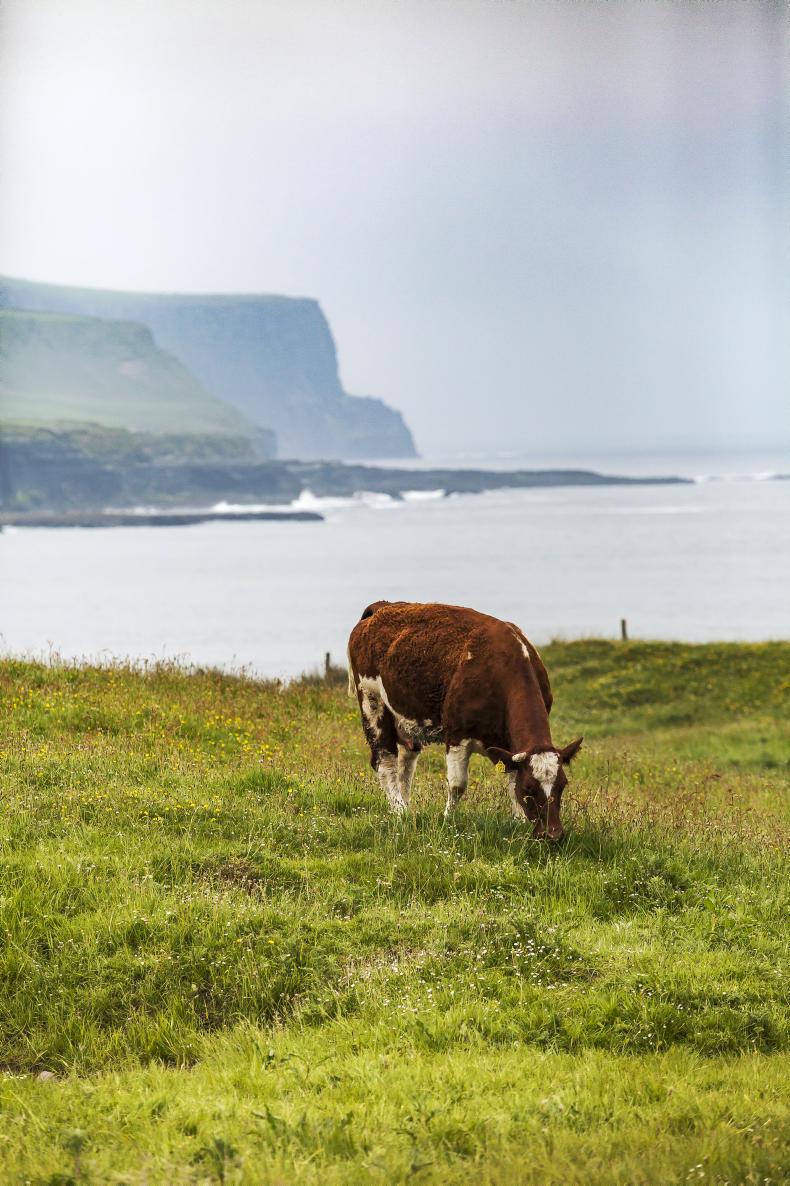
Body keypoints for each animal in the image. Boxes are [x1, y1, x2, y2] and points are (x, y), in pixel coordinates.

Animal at [347, 600, 582, 840]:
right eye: (530, 789)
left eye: (562, 785)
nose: (553, 834)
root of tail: (381, 607)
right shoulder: (457, 734)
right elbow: (457, 784)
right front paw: (448, 820)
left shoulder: (510, 747)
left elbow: (512, 779)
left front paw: (519, 821)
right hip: (371, 702)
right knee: (385, 761)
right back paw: (400, 811)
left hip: (407, 720)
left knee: (406, 764)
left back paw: (406, 805)